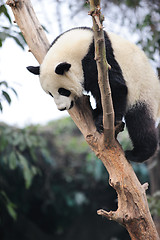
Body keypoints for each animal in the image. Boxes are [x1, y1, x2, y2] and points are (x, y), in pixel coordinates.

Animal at [26, 26, 160, 163]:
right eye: (50, 94)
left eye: (63, 91)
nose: (62, 108)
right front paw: (99, 115)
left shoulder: (99, 59)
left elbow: (116, 87)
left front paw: (103, 122)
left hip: (144, 92)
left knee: (140, 122)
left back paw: (138, 153)